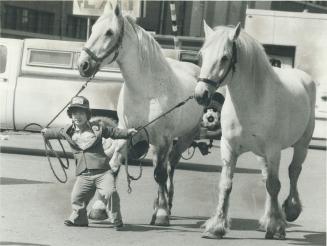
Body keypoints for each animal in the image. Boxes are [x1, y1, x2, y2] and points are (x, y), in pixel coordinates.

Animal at [78, 2, 204, 225]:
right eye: (92, 29)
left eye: (109, 32)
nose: (83, 65)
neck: (147, 92)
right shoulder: (126, 132)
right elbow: (114, 167)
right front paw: (99, 208)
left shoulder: (163, 139)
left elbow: (160, 174)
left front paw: (161, 213)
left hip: (184, 138)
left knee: (170, 166)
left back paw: (165, 205)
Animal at [195, 22, 318, 239]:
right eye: (201, 56)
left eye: (224, 57)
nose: (201, 95)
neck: (251, 102)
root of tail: (304, 78)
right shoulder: (229, 147)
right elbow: (226, 184)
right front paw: (217, 226)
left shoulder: (273, 150)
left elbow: (275, 185)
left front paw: (277, 226)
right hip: (262, 155)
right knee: (268, 179)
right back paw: (267, 220)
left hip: (301, 145)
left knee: (293, 172)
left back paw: (290, 210)